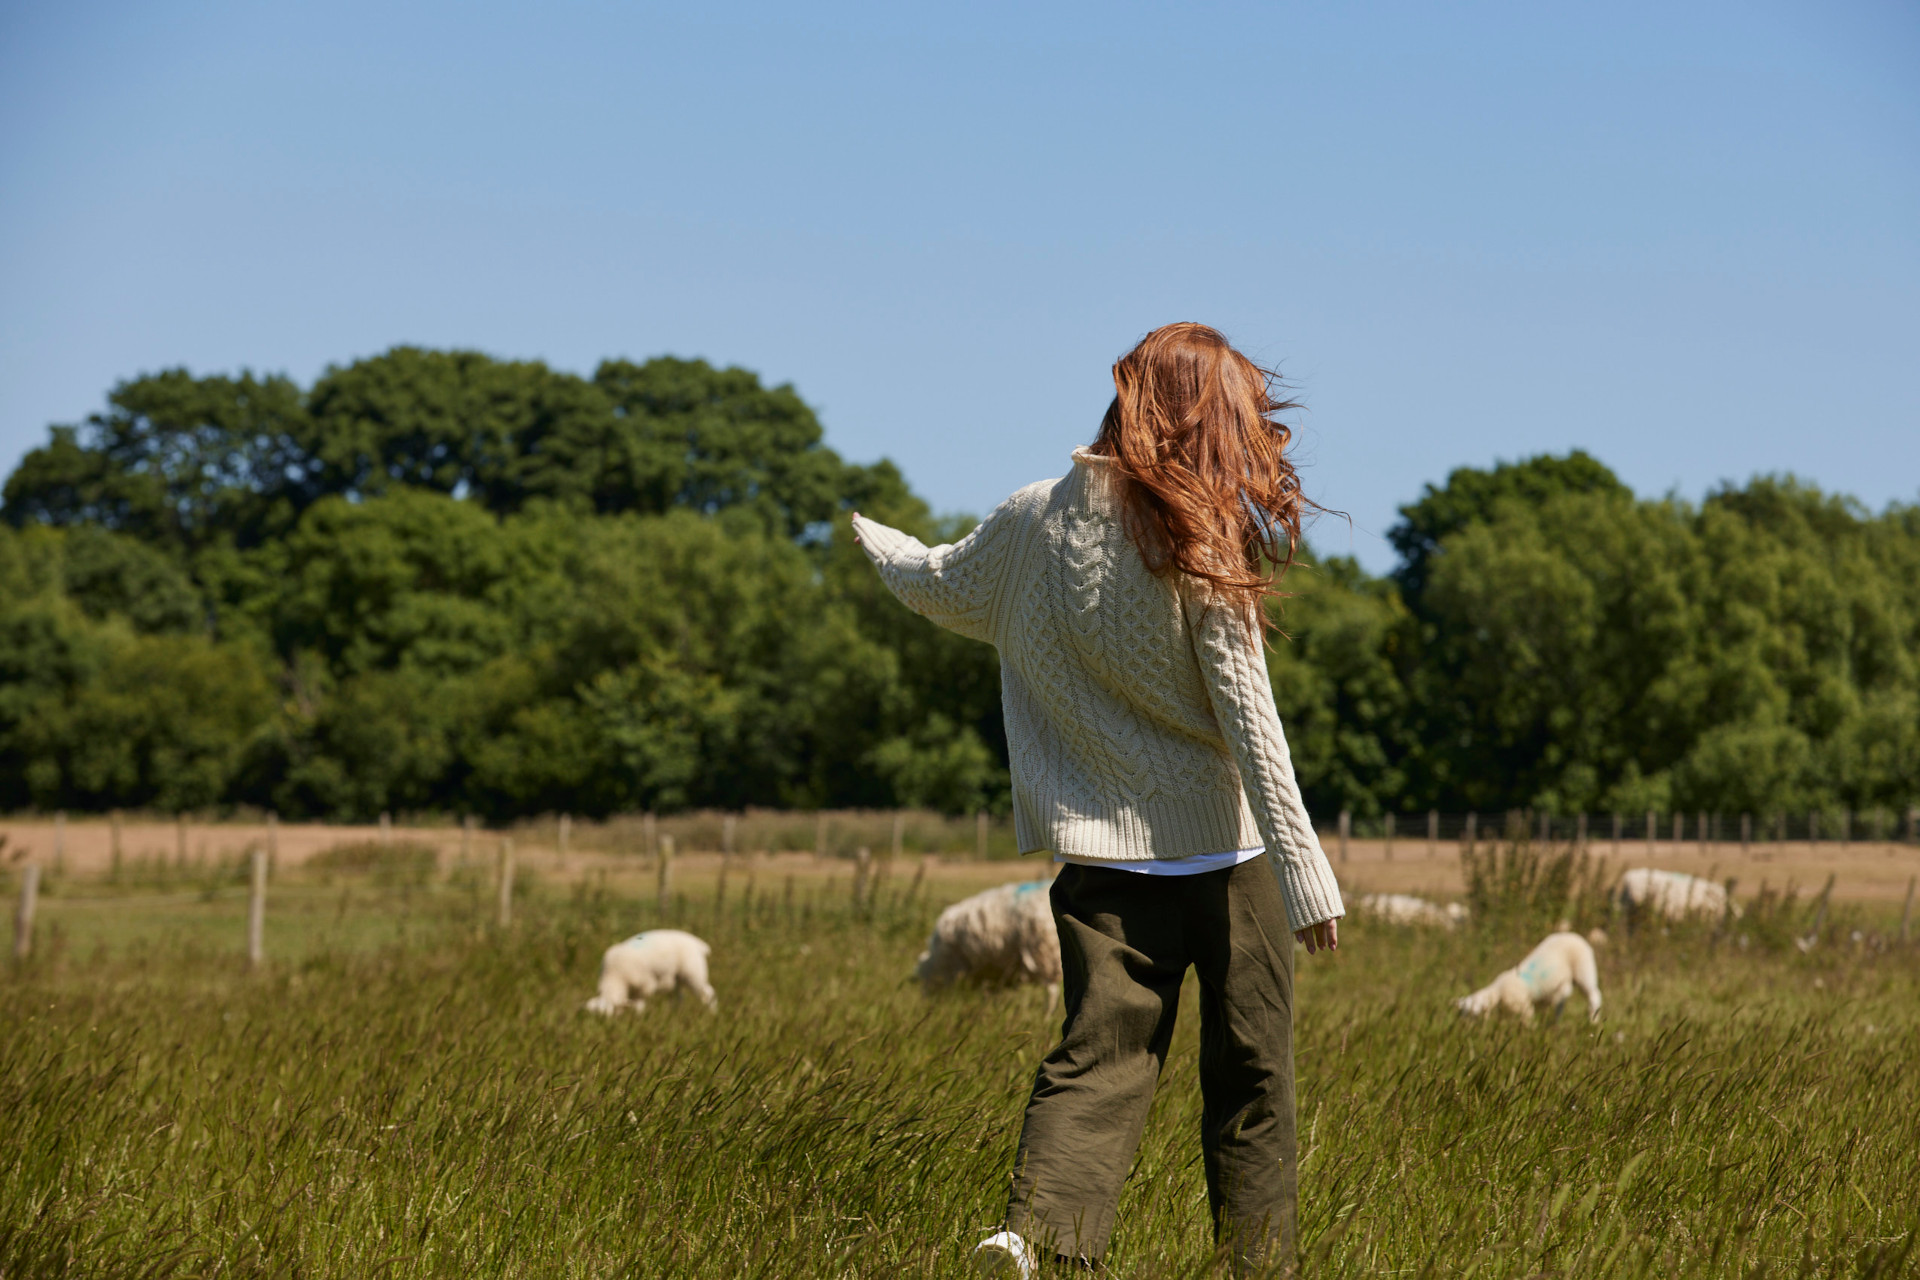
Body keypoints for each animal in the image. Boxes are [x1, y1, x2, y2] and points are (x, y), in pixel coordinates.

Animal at [1451, 924, 1605, 1028]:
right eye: (1462, 1013)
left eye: (1474, 1015)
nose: (1464, 1027)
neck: (1498, 990)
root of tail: (1574, 935)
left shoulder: (1524, 1007)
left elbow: (1528, 1021)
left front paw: (1530, 1032)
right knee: (1561, 1000)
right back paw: (1555, 1024)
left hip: (1584, 968)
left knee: (1594, 994)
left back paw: (1593, 1020)